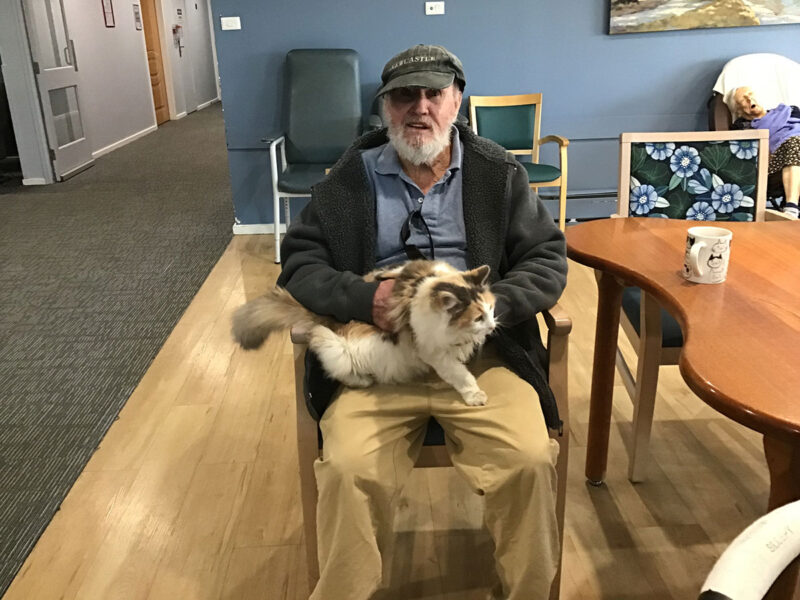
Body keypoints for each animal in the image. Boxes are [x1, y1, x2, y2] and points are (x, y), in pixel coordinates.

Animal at [231, 260, 497, 406]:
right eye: (478, 318)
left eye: (491, 309)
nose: (493, 326)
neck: (422, 285)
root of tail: (330, 320)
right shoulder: (433, 351)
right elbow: (461, 376)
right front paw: (475, 395)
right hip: (340, 348)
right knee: (336, 365)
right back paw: (362, 380)